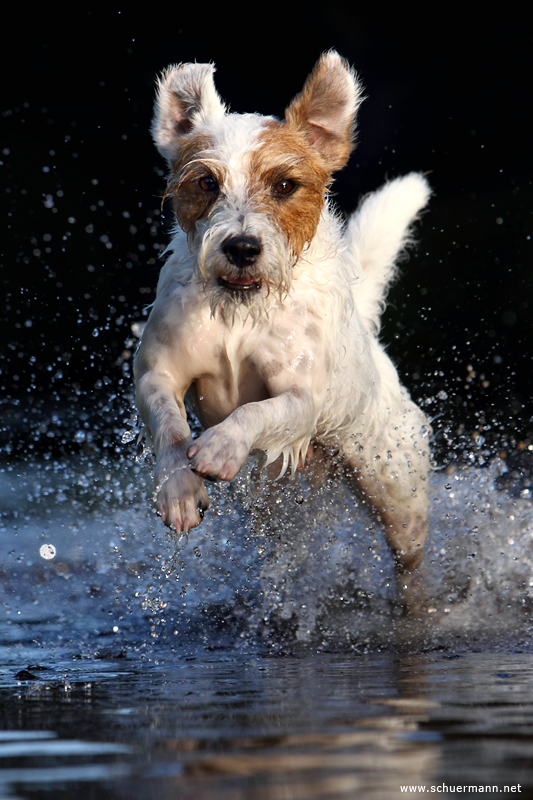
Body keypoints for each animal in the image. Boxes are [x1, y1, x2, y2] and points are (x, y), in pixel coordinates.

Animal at [133, 50, 432, 580]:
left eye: (285, 185)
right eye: (206, 182)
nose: (242, 247)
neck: (240, 315)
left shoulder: (300, 398)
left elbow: (257, 411)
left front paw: (220, 446)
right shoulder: (155, 374)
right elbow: (169, 425)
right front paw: (179, 490)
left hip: (398, 494)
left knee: (410, 563)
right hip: (275, 505)